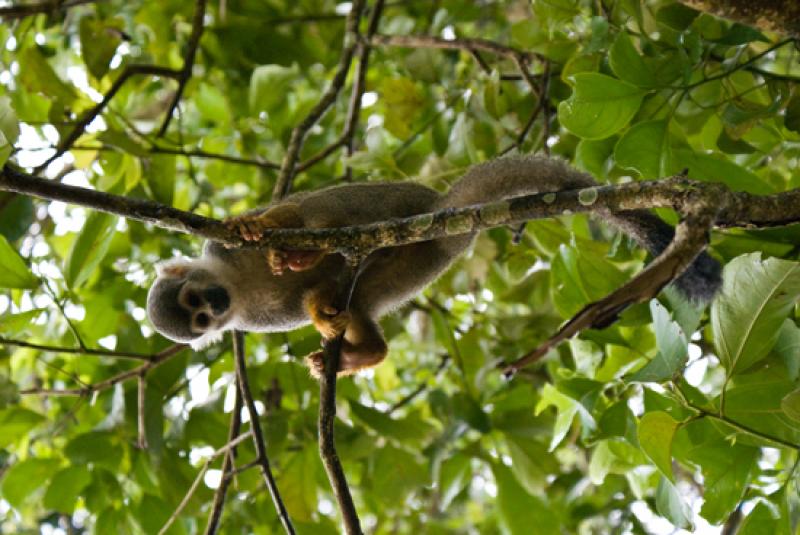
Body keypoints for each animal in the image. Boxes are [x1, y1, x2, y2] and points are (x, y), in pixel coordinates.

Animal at [147, 157, 720, 378]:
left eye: (197, 303)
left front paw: (256, 226)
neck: (234, 283)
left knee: (328, 213)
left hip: (396, 204)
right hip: (419, 262)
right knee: (363, 294)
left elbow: (284, 215)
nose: (212, 308)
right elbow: (313, 299)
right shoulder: (253, 320)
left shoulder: (220, 254)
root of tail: (443, 206)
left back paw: (307, 250)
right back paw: (363, 348)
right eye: (198, 320)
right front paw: (320, 312)